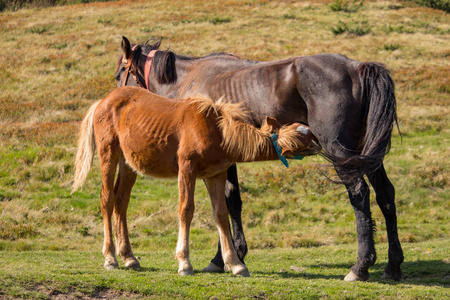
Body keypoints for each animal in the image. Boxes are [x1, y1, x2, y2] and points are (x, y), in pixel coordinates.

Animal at [114, 35, 402, 282]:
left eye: (119, 75)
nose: (114, 97)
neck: (189, 81)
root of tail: (357, 67)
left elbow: (226, 204)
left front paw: (226, 258)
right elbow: (230, 203)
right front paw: (232, 256)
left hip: (341, 153)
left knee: (360, 194)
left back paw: (360, 266)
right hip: (365, 155)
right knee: (385, 194)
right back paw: (393, 265)